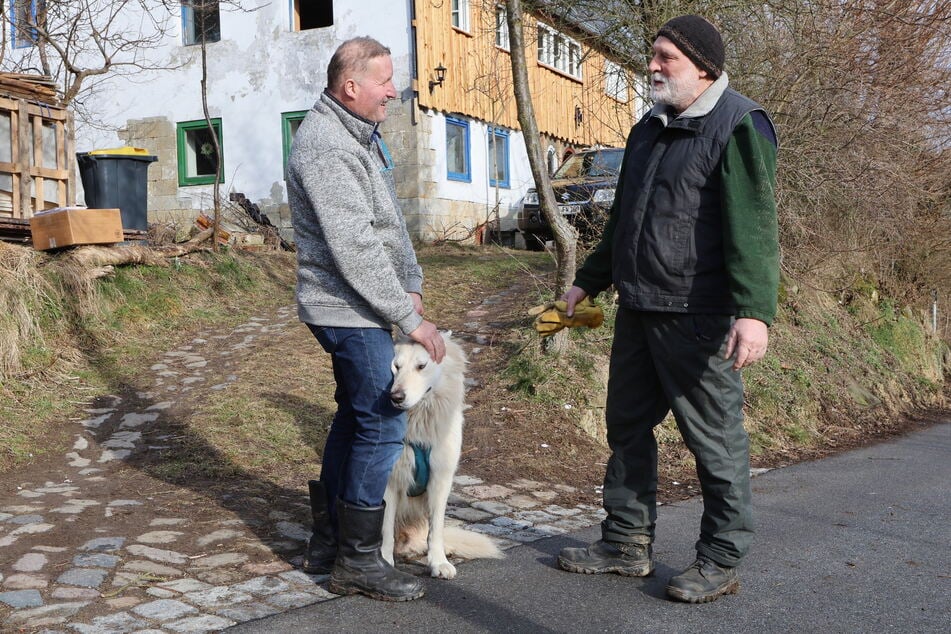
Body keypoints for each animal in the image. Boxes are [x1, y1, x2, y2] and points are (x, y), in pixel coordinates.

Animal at [384, 334, 510, 576]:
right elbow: (385, 528)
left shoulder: (441, 479)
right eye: (396, 366)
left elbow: (436, 529)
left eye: (421, 366)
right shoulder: (389, 480)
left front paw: (438, 562)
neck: (419, 422)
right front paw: (384, 562)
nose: (395, 397)